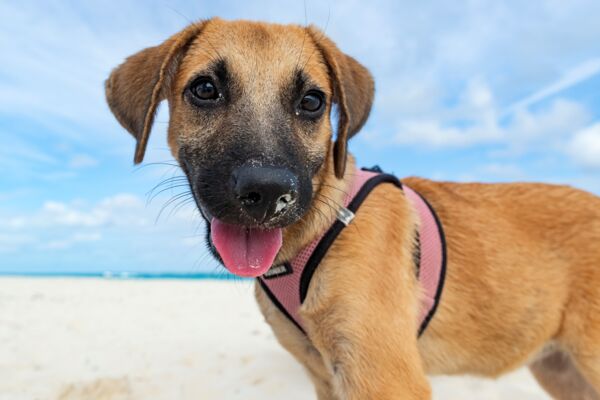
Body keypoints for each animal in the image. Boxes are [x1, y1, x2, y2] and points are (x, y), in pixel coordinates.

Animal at [104, 17, 600, 398]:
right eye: (205, 89)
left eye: (312, 102)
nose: (267, 193)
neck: (310, 238)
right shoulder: (327, 377)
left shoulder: (384, 378)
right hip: (561, 370)